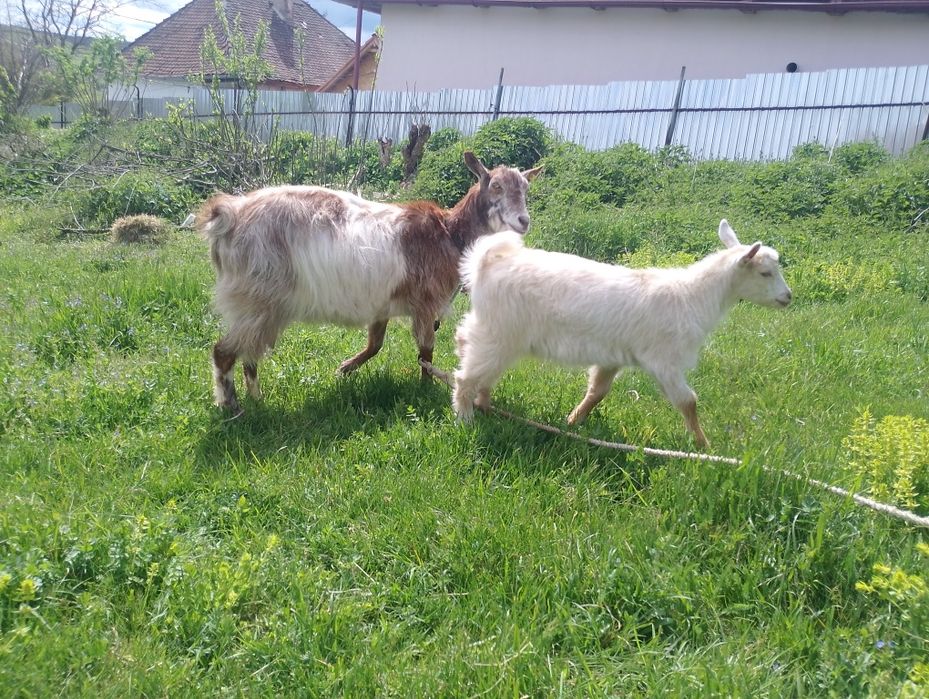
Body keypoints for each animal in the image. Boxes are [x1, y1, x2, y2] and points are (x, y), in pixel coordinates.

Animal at [197, 151, 542, 411]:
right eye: (495, 186)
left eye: (526, 189)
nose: (523, 221)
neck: (450, 234)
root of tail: (227, 215)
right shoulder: (425, 303)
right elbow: (425, 350)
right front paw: (426, 388)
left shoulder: (383, 305)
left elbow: (375, 345)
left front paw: (344, 369)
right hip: (256, 297)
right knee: (224, 351)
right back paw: (231, 406)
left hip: (263, 306)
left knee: (249, 353)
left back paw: (256, 399)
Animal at [451, 220, 792, 447]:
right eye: (765, 273)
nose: (788, 297)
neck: (690, 297)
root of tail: (487, 263)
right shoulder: (664, 361)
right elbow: (688, 402)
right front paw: (704, 448)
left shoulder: (611, 356)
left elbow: (597, 391)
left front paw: (572, 422)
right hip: (498, 333)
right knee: (465, 375)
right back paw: (466, 418)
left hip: (499, 333)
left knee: (467, 343)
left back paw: (484, 402)